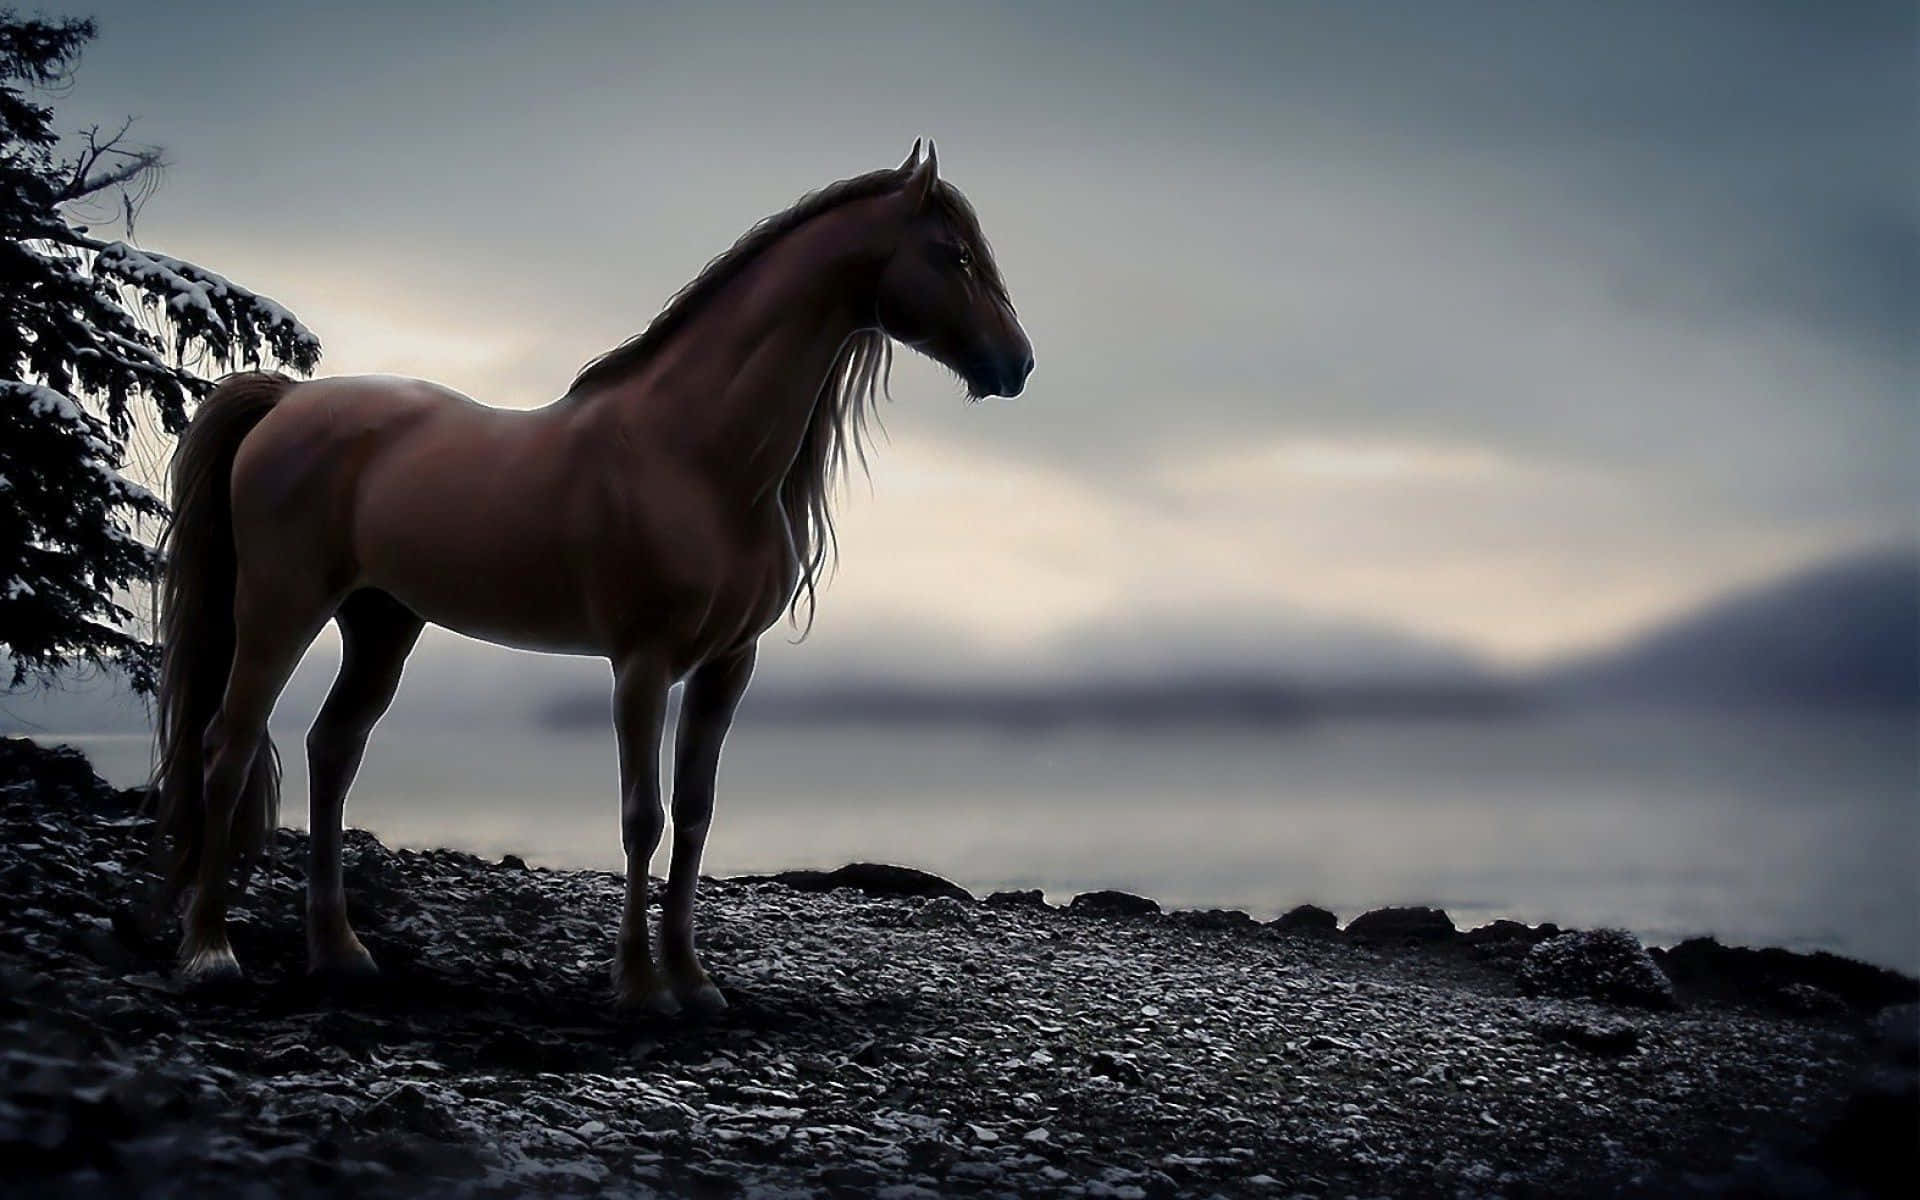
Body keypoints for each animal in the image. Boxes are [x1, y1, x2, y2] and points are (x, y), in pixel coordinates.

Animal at [148, 142, 1032, 1016]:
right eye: (953, 254)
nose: (1017, 363)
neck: (693, 453)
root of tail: (285, 402)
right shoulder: (642, 664)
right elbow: (643, 817)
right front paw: (640, 986)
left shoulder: (727, 666)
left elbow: (697, 813)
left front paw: (694, 980)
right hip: (280, 606)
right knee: (228, 746)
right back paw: (211, 952)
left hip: (382, 623)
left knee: (332, 750)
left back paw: (340, 953)